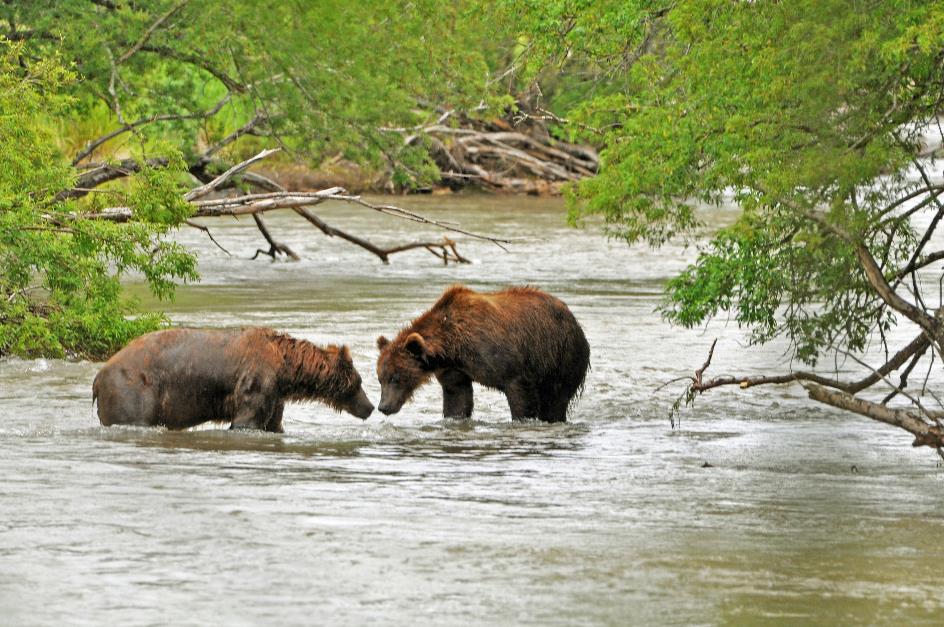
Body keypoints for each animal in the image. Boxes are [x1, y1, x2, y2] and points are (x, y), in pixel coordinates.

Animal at [94, 328, 374, 432]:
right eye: (358, 383)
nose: (370, 407)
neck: (285, 368)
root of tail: (98, 376)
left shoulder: (275, 395)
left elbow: (274, 423)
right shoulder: (256, 382)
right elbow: (246, 421)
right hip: (133, 390)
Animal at [376, 288, 592, 424]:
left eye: (396, 377)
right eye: (380, 378)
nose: (383, 406)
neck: (454, 348)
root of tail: (575, 321)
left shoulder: (507, 364)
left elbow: (521, 396)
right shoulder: (454, 370)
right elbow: (457, 399)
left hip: (562, 357)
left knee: (555, 401)